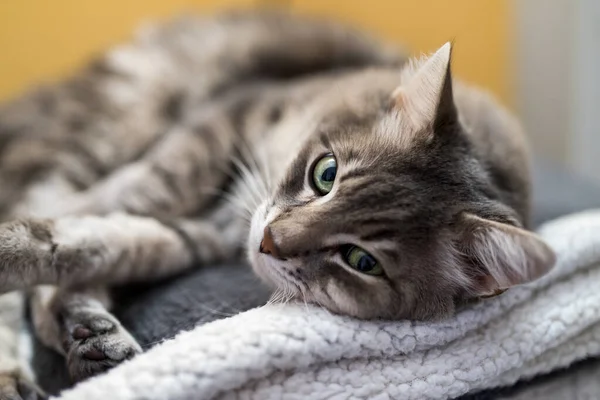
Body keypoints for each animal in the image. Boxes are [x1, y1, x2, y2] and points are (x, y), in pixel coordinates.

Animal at [0, 7, 552, 398]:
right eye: (325, 173)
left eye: (362, 261)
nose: (267, 242)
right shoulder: (225, 121)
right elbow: (116, 203)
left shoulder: (202, 235)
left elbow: (104, 244)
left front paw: (74, 305)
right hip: (94, 138)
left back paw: (86, 337)